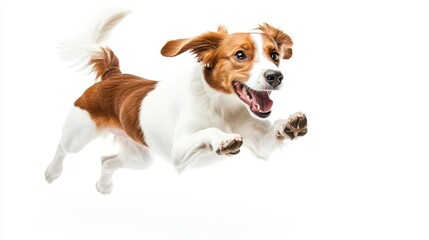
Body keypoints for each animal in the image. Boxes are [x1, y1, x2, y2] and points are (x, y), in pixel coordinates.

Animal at [45, 9, 306, 195]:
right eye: (240, 55)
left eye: (275, 55)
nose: (275, 76)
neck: (222, 106)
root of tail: (114, 75)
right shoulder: (177, 153)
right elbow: (208, 132)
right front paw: (223, 139)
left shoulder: (260, 144)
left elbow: (272, 134)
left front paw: (289, 123)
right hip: (78, 135)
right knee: (62, 147)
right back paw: (51, 172)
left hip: (141, 157)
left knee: (106, 161)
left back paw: (104, 186)